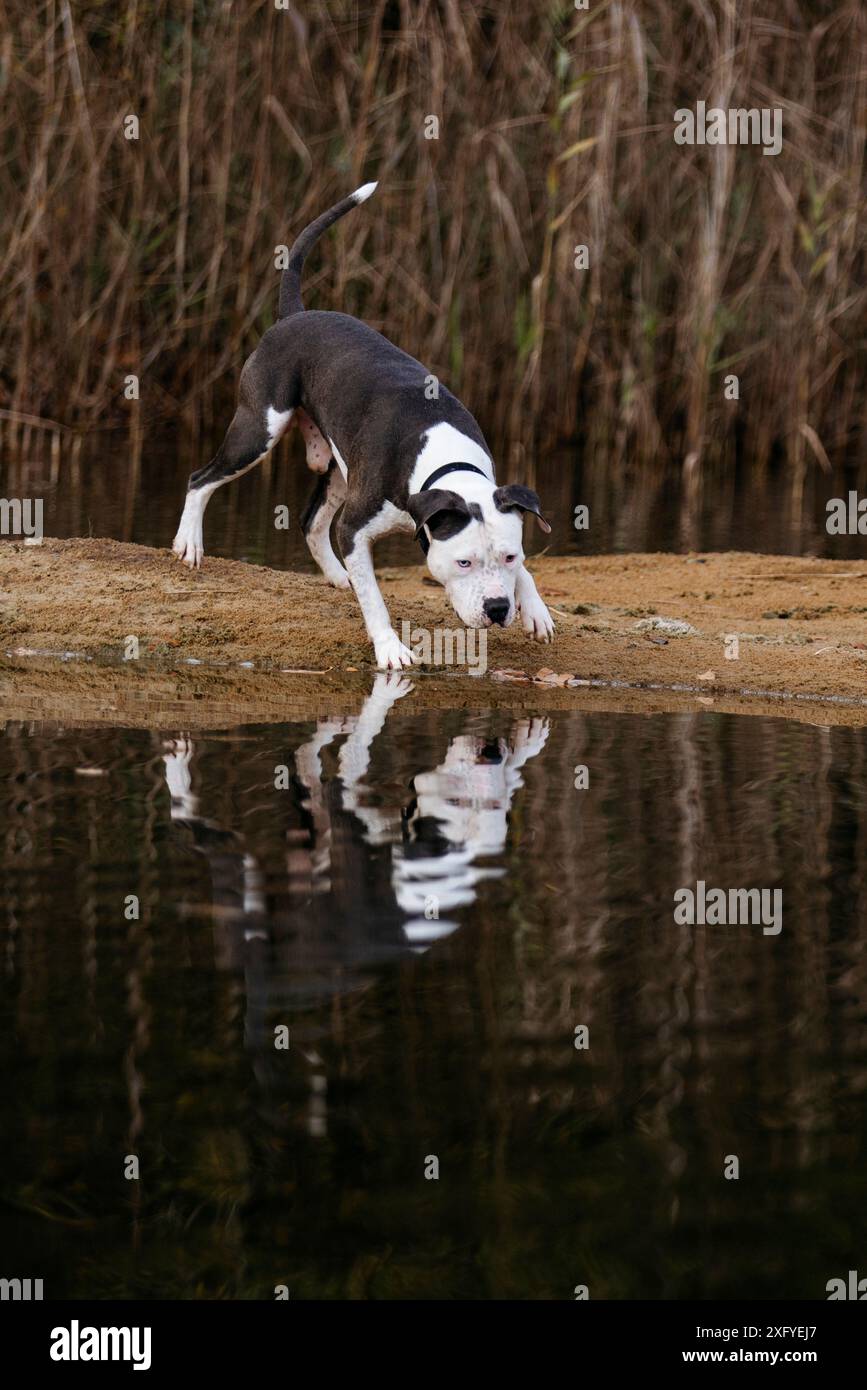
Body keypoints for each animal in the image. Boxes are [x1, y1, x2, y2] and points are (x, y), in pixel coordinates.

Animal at [174, 183, 555, 667]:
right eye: (463, 562)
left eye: (510, 556)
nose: (498, 608)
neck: (440, 463)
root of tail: (295, 314)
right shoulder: (355, 528)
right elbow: (374, 597)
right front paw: (390, 647)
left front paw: (535, 607)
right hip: (258, 429)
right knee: (201, 478)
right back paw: (189, 543)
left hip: (338, 467)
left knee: (310, 521)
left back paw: (339, 576)